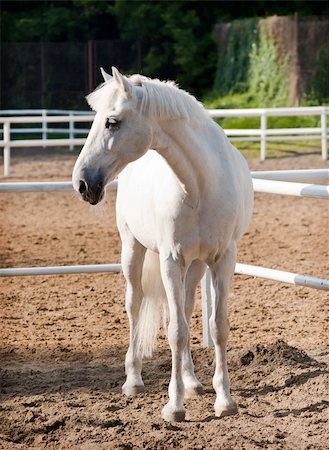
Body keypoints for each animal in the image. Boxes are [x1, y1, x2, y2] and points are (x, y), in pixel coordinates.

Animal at [72, 67, 252, 422]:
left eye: (111, 121)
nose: (82, 183)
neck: (200, 186)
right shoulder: (171, 259)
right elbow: (176, 332)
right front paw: (174, 405)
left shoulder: (223, 260)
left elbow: (217, 326)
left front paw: (224, 400)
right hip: (134, 251)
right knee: (135, 305)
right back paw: (134, 379)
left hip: (195, 267)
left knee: (184, 310)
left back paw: (192, 380)